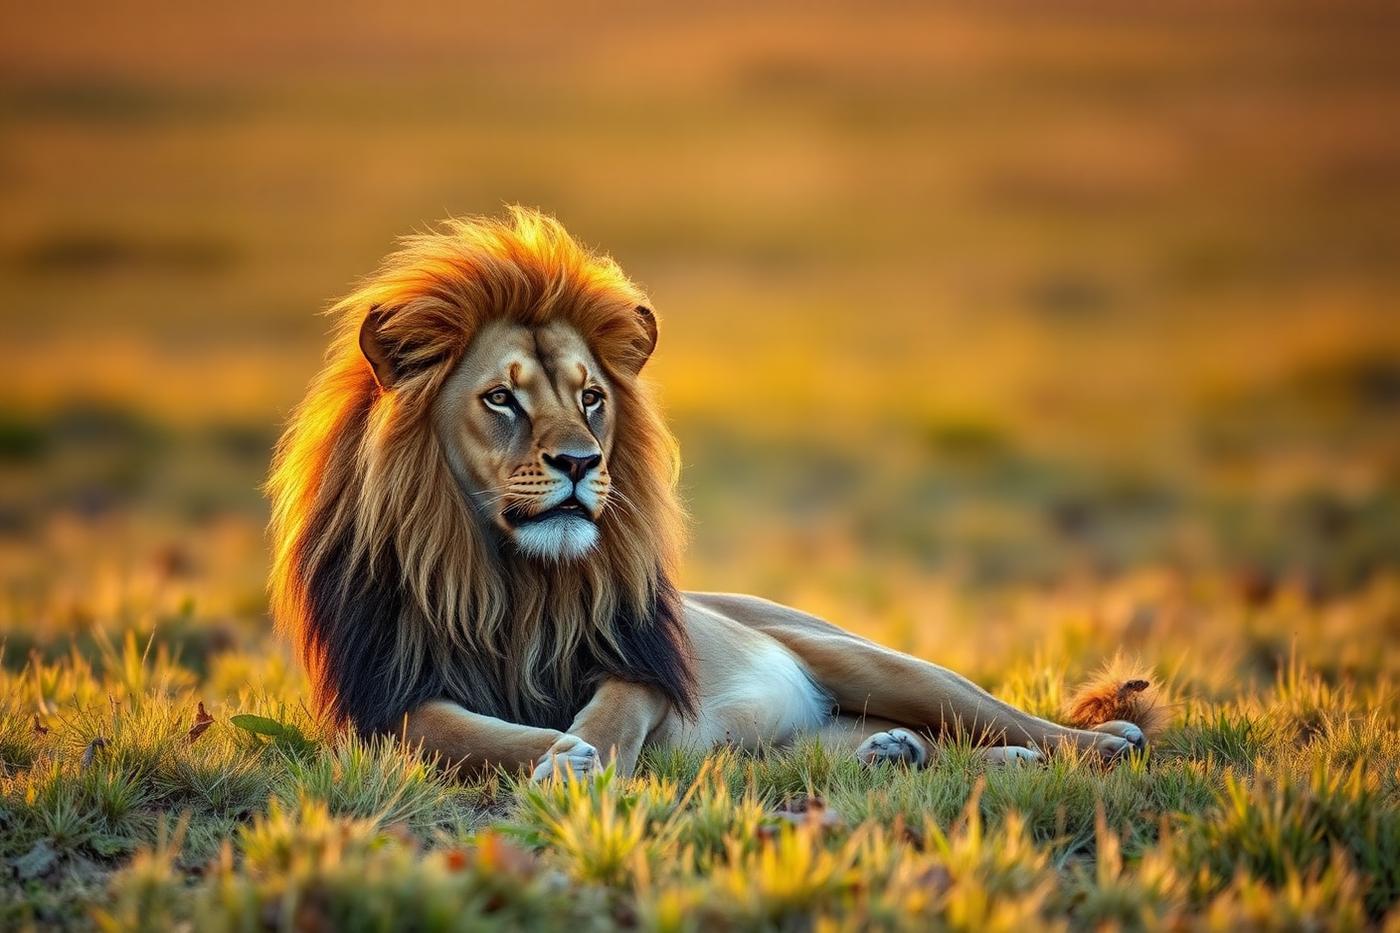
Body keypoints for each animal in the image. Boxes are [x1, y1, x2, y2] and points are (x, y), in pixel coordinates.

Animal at [268, 208, 1149, 781]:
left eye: (592, 397)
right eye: (501, 399)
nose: (582, 461)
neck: (507, 581)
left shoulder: (641, 654)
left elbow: (615, 709)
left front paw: (589, 756)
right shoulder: (380, 698)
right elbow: (447, 731)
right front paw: (555, 756)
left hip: (871, 659)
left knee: (993, 716)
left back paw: (1104, 742)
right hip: (790, 746)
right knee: (899, 746)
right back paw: (900, 752)